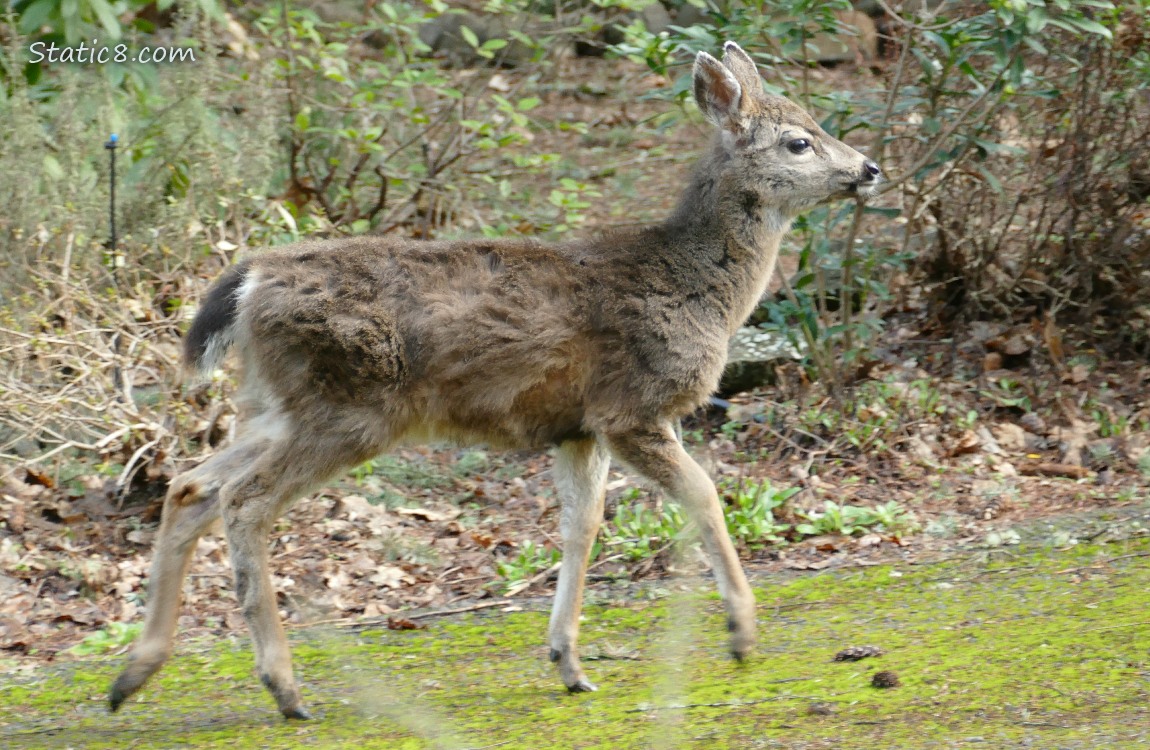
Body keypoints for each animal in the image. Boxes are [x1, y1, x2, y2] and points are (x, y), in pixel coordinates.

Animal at [109, 42, 878, 722]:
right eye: (798, 142)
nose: (868, 168)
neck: (698, 288)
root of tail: (251, 280)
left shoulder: (578, 427)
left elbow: (580, 527)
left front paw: (569, 663)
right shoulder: (633, 407)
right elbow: (704, 495)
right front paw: (742, 633)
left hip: (276, 405)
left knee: (191, 486)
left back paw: (134, 674)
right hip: (347, 408)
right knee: (244, 502)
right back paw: (285, 688)